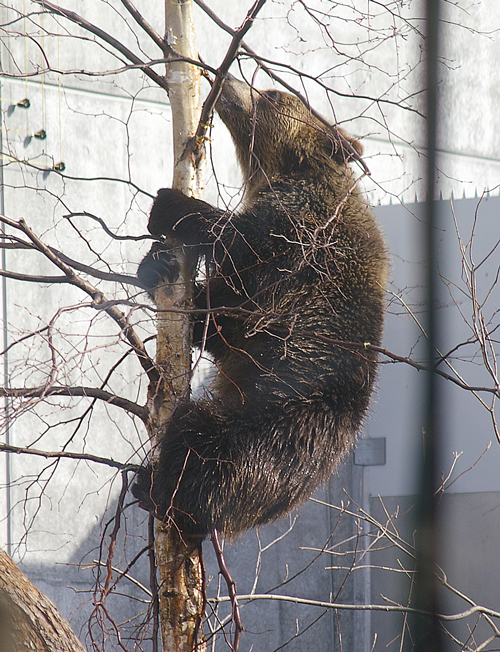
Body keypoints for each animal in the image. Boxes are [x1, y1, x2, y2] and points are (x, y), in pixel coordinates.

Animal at [133, 74, 386, 536]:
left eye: (272, 94)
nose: (228, 80)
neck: (279, 170)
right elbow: (219, 319)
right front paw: (156, 265)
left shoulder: (302, 235)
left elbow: (239, 241)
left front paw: (169, 206)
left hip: (276, 423)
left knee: (203, 442)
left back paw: (160, 490)